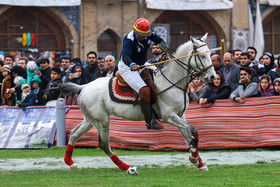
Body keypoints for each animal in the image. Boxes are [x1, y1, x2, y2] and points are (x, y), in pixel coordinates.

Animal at [59, 33, 217, 172]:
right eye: (202, 56)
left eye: (210, 54)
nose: (213, 77)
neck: (172, 81)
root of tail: (83, 87)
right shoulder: (169, 116)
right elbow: (193, 130)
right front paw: (194, 159)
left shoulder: (180, 115)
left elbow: (188, 136)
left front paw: (199, 163)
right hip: (102, 120)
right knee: (103, 144)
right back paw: (127, 167)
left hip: (91, 119)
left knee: (74, 134)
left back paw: (70, 162)